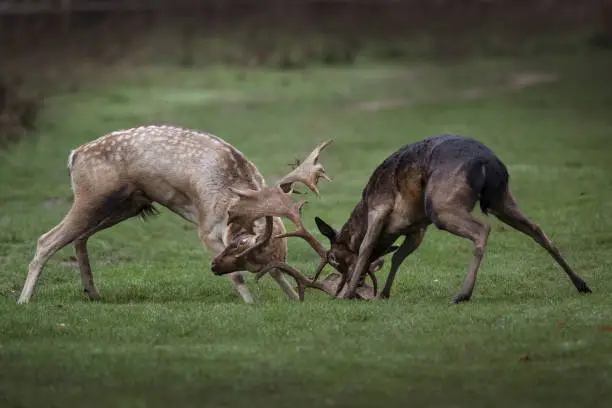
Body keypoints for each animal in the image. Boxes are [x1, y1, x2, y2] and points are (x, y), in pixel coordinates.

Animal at [14, 123, 346, 302]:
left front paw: (294, 298)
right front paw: (251, 304)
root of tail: (74, 155)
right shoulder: (206, 227)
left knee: (79, 238)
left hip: (126, 205)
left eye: (254, 260)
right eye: (236, 247)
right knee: (47, 239)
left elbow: (277, 271)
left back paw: (92, 292)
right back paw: (24, 300)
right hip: (92, 196)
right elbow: (237, 278)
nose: (213, 268)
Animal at [219, 134, 588, 302]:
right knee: (538, 229)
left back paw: (463, 293)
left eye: (334, 258)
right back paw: (581, 283)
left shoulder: (379, 210)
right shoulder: (416, 228)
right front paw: (382, 292)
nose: (342, 284)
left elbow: (366, 251)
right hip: (501, 196)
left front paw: (348, 294)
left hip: (443, 203)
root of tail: (488, 163)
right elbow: (397, 256)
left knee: (482, 230)